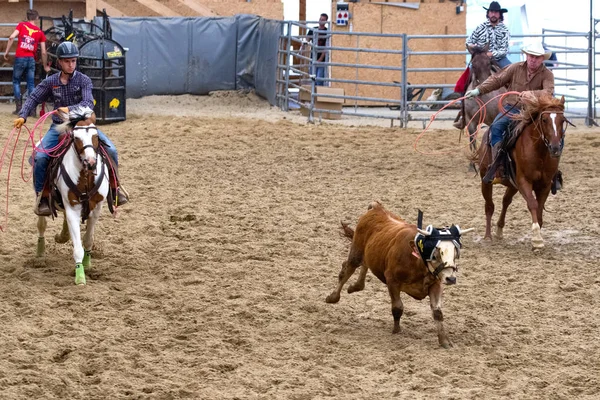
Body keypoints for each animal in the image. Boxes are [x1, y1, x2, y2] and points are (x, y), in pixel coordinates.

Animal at [35, 106, 110, 284]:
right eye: (76, 138)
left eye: (96, 136)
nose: (90, 162)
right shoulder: (72, 208)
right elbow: (77, 248)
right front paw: (80, 276)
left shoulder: (96, 208)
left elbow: (88, 240)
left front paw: (88, 265)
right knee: (42, 224)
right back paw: (40, 255)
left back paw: (62, 236)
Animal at [326, 202, 472, 348]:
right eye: (435, 256)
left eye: (455, 254)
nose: (451, 278)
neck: (417, 261)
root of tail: (376, 207)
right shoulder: (392, 281)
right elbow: (398, 307)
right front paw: (397, 330)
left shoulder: (436, 284)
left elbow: (437, 313)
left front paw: (444, 341)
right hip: (356, 251)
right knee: (346, 270)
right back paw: (333, 297)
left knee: (365, 263)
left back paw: (356, 286)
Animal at [474, 95, 568, 248]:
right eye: (544, 119)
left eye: (563, 120)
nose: (555, 148)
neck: (539, 152)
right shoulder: (524, 181)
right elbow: (532, 204)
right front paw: (537, 239)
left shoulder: (545, 185)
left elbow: (539, 210)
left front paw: (538, 235)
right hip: (485, 180)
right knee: (489, 206)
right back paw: (488, 236)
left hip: (513, 185)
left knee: (506, 201)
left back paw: (499, 230)